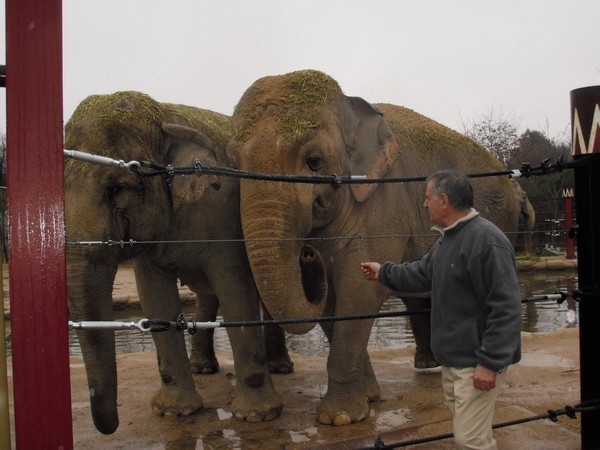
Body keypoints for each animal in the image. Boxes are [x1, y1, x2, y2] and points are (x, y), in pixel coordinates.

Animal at [64, 90, 284, 432]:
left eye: (117, 188)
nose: (111, 425)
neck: (163, 115)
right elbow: (156, 299)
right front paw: (173, 412)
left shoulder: (223, 212)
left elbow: (236, 290)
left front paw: (256, 416)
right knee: (208, 295)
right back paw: (202, 369)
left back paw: (280, 368)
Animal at [225, 69, 520, 426]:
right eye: (232, 164)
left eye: (314, 161)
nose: (308, 254)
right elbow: (334, 301)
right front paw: (368, 398)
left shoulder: (383, 199)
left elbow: (359, 289)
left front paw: (339, 419)